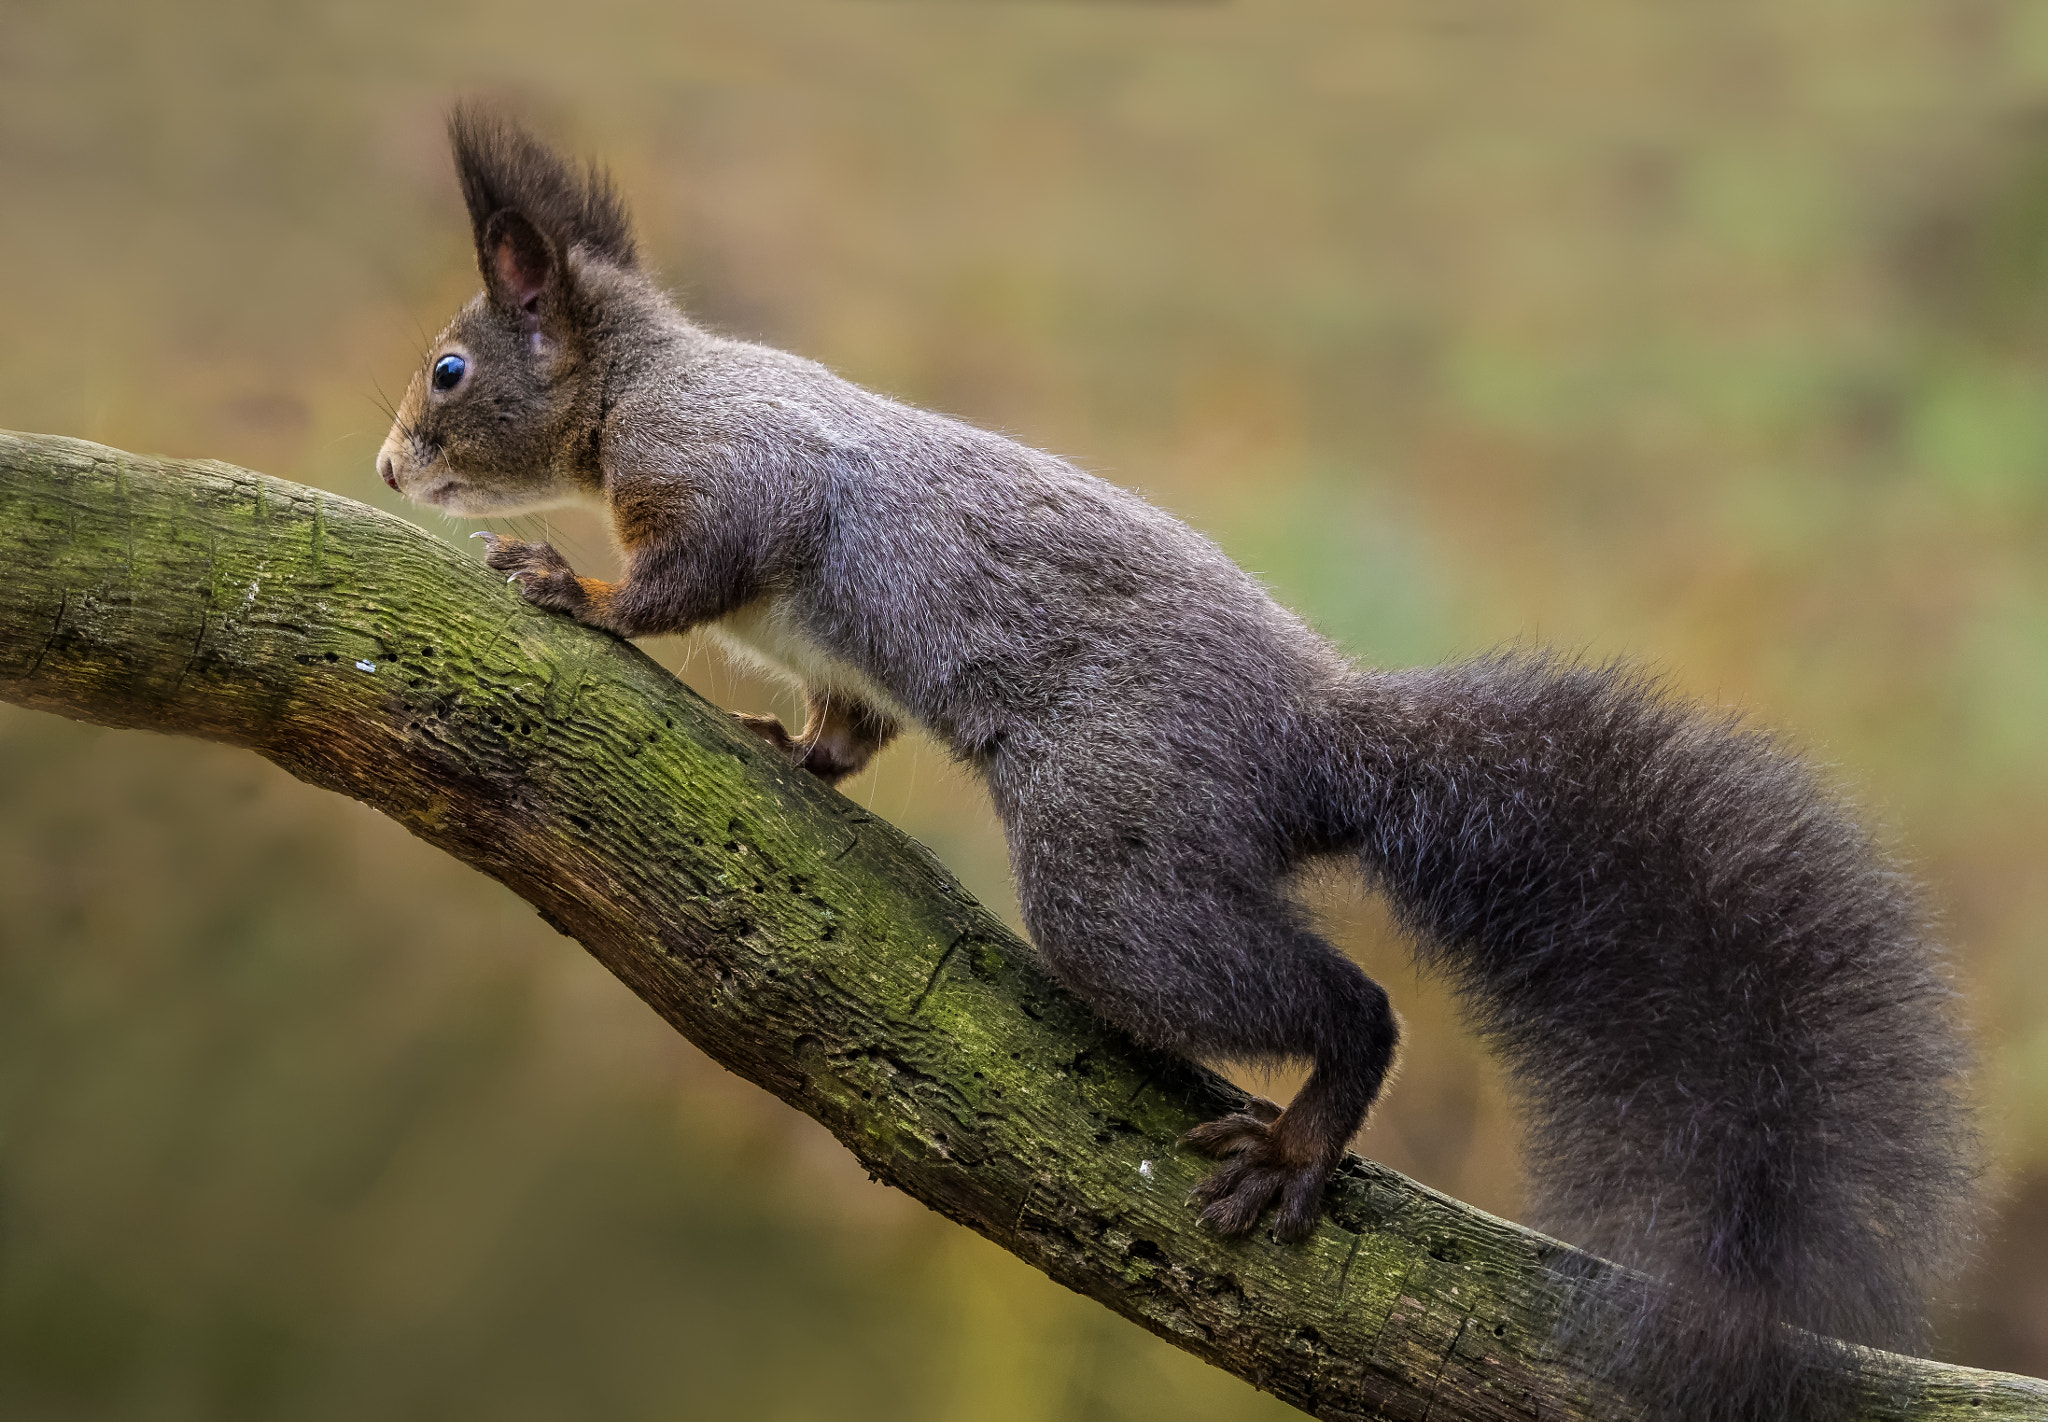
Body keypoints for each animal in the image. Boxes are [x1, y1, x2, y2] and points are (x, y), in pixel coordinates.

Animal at [376, 111, 1974, 1422]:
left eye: (449, 370)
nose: (389, 467)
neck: (643, 382)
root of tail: (1313, 743)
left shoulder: (734, 479)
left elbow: (685, 576)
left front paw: (569, 585)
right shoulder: (832, 656)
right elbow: (845, 726)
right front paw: (790, 745)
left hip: (1117, 863)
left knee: (1346, 1003)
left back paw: (1303, 1137)